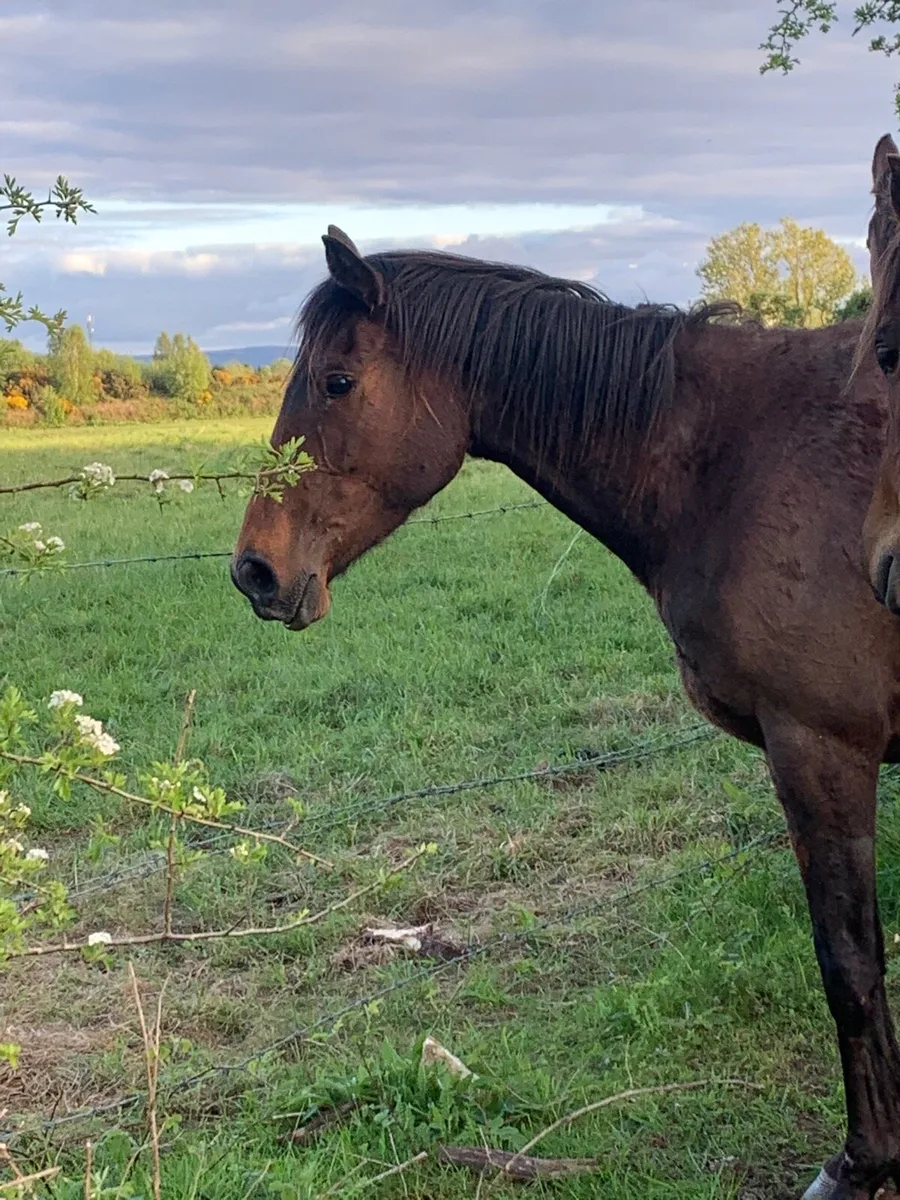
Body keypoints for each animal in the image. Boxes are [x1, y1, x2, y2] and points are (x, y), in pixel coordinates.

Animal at [232, 225, 900, 1198]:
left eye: (337, 382)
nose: (254, 570)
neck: (738, 461)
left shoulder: (823, 751)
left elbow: (850, 966)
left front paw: (864, 1161)